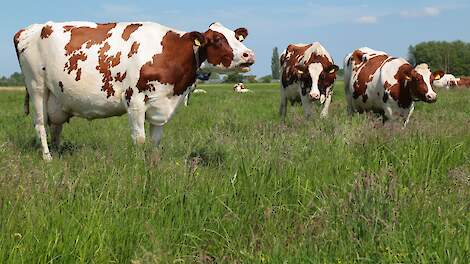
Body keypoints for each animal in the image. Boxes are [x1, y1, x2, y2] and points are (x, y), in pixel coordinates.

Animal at [14, 20, 255, 160]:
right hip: (37, 86)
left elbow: (156, 141)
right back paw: (47, 158)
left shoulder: (161, 104)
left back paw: (57, 153)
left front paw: (154, 165)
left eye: (237, 37)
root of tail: (30, 28)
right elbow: (139, 139)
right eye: (217, 39)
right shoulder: (135, 101)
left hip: (57, 96)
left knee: (55, 126)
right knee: (40, 124)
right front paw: (139, 167)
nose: (249, 54)